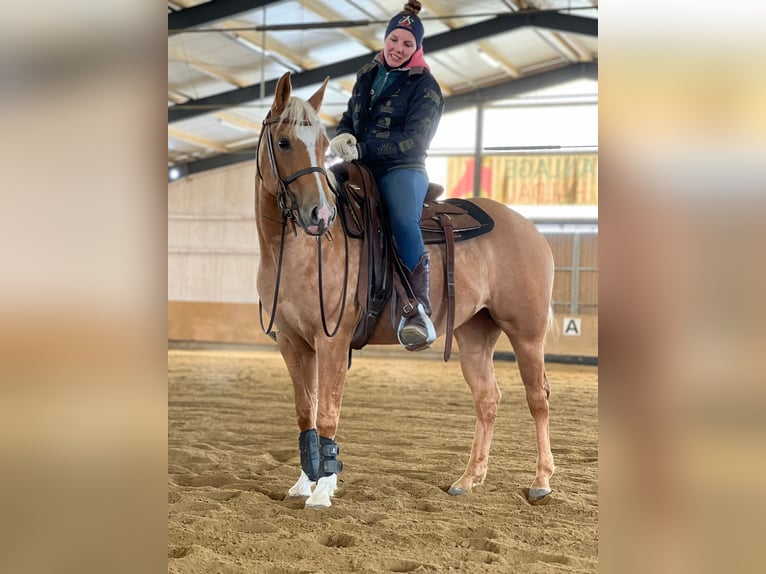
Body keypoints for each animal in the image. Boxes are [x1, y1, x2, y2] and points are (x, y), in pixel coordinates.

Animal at [255, 72, 555, 508]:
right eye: (283, 142)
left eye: (324, 146)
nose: (321, 215)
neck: (299, 252)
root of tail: (528, 228)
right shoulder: (291, 342)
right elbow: (304, 411)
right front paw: (302, 484)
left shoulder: (332, 340)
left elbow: (327, 411)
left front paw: (324, 490)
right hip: (474, 334)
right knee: (488, 399)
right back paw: (468, 479)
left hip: (527, 333)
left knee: (538, 398)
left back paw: (542, 480)